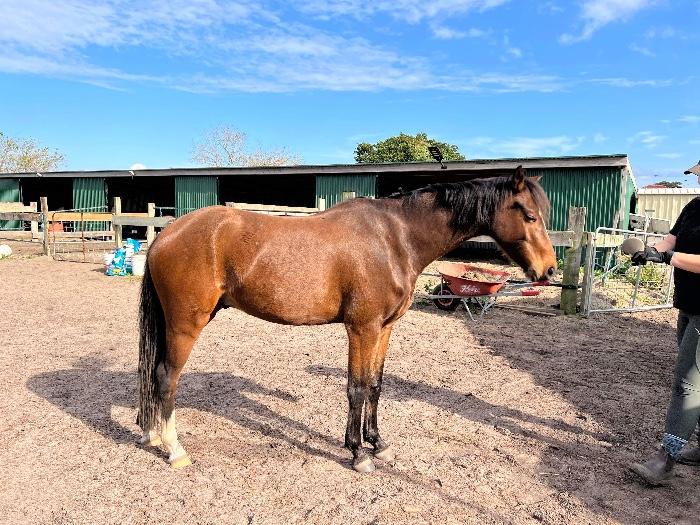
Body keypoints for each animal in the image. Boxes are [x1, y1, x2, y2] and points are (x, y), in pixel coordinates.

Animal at [136, 165, 557, 472]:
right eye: (529, 215)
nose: (549, 270)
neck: (395, 238)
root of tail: (166, 233)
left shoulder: (384, 329)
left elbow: (375, 385)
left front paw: (378, 443)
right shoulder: (362, 328)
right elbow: (356, 387)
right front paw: (357, 453)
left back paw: (152, 434)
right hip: (185, 324)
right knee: (166, 376)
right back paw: (174, 449)